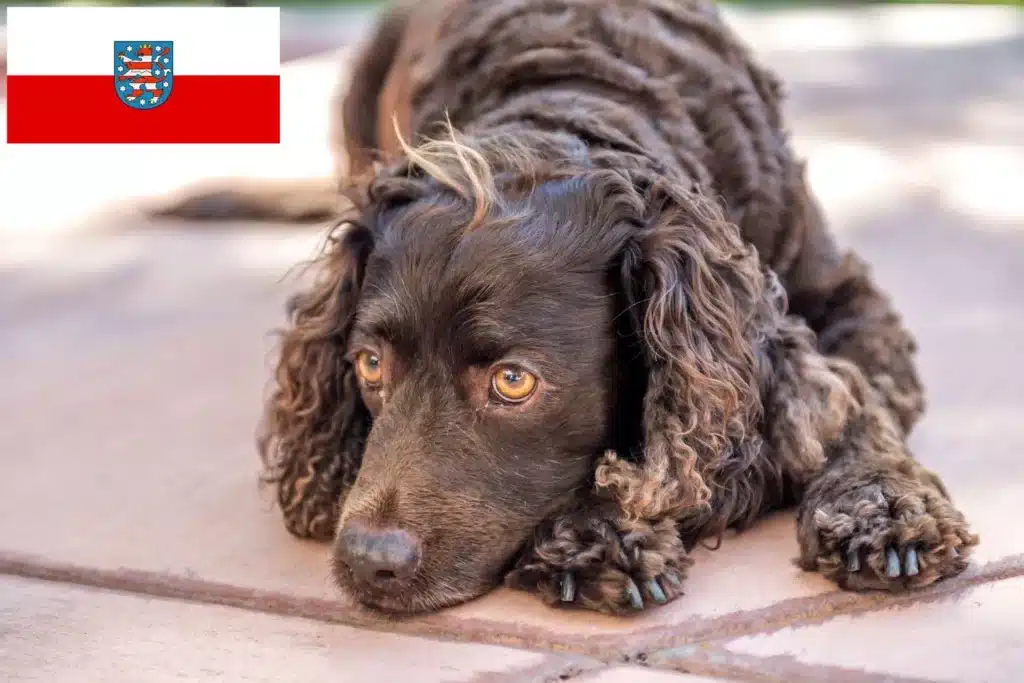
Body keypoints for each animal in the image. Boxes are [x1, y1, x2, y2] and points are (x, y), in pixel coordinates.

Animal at [224, 0, 974, 618]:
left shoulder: (847, 302)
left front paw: (883, 506)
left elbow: (857, 403)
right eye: (370, 365)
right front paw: (600, 531)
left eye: (513, 381)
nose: (367, 561)